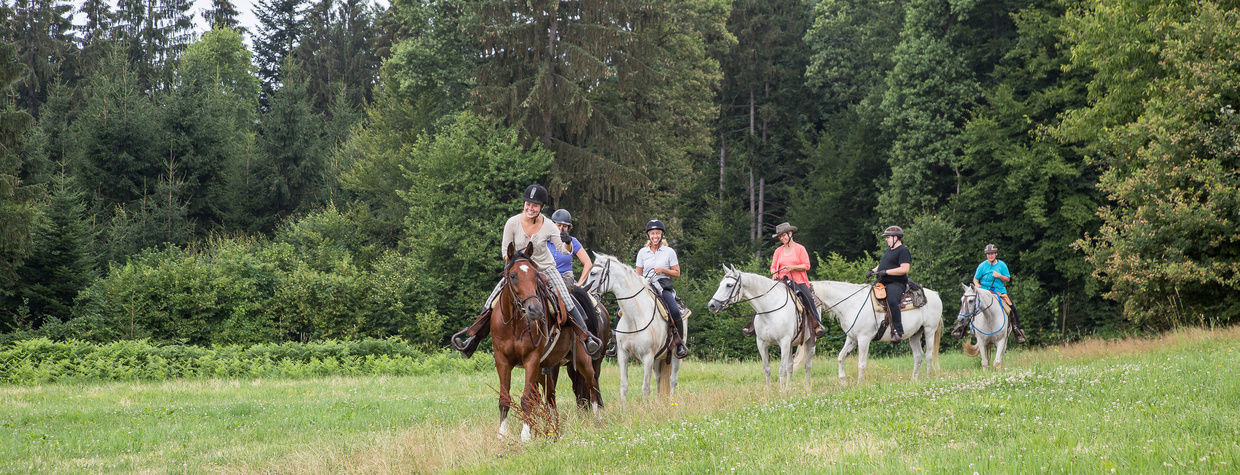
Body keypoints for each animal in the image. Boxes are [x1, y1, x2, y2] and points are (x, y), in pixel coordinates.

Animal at [491, 245, 602, 441]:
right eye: (513, 276)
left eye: (535, 275)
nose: (535, 309)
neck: (514, 326)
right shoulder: (502, 360)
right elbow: (505, 398)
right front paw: (502, 434)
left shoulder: (532, 359)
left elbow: (527, 398)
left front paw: (525, 435)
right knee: (551, 396)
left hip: (583, 361)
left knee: (592, 384)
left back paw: (596, 419)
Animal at [582, 253, 684, 406]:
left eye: (593, 273)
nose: (584, 292)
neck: (635, 317)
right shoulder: (623, 355)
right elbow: (624, 386)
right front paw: (623, 409)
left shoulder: (648, 357)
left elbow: (645, 388)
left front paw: (646, 409)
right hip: (658, 358)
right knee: (659, 379)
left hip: (675, 356)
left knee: (672, 380)